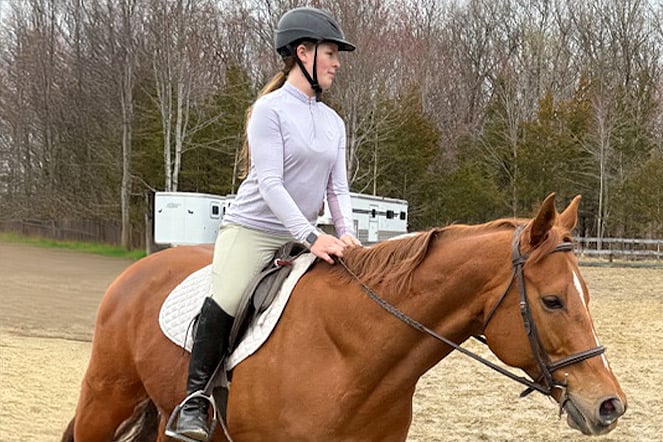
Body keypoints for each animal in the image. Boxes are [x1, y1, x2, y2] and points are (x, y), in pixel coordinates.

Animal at [61, 193, 626, 441]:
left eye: (587, 296)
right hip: (105, 401)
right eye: (552, 301)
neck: (353, 358)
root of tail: (136, 273)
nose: (609, 405)